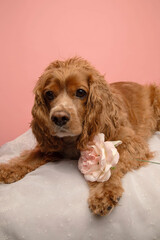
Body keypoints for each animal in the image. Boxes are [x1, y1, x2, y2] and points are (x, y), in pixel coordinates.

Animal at [0, 56, 160, 216]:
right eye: (49, 94)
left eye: (81, 92)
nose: (59, 118)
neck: (73, 140)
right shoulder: (51, 146)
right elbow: (31, 156)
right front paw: (10, 168)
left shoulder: (131, 142)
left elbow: (109, 166)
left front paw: (103, 192)